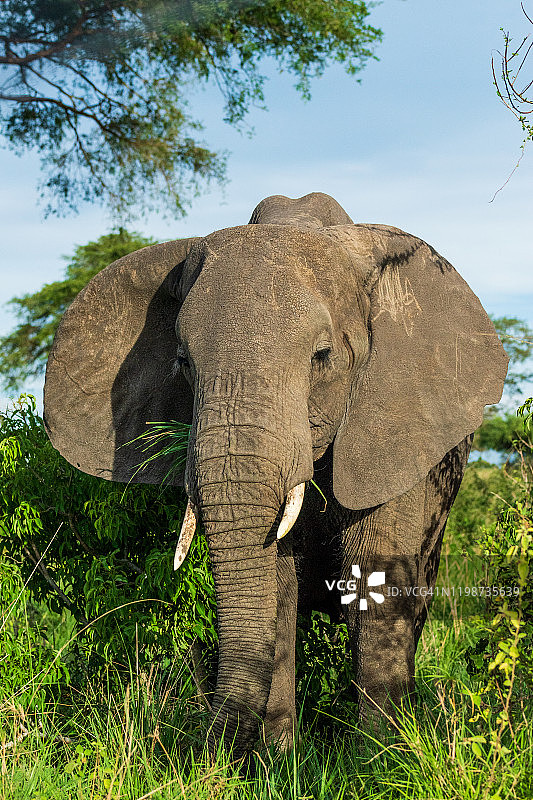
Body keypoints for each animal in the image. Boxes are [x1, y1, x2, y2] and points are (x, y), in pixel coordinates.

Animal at [43, 192, 508, 756]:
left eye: (323, 356)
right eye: (183, 362)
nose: (207, 747)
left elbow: (377, 584)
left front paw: (378, 760)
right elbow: (277, 590)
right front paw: (277, 760)